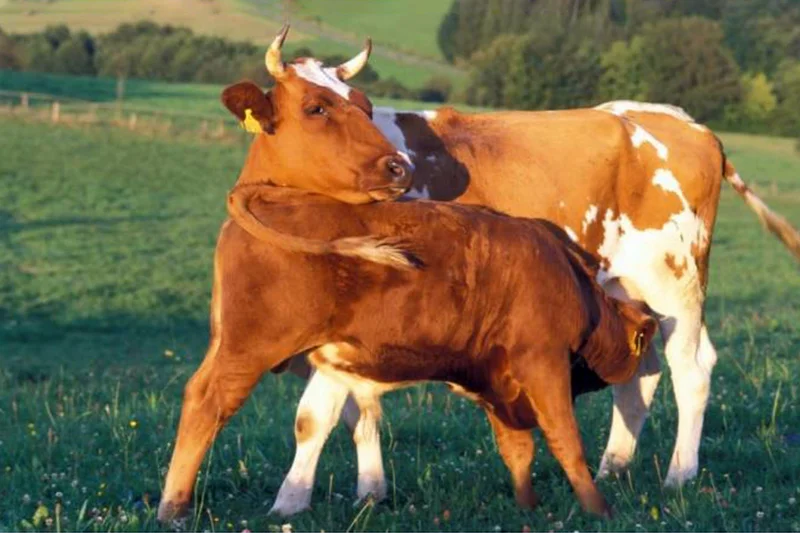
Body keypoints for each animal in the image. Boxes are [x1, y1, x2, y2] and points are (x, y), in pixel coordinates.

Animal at [157, 182, 659, 521]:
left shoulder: (496, 379)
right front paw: (599, 510)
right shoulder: (541, 362)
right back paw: (174, 506)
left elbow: (518, 449)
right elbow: (566, 440)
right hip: (246, 348)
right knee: (206, 404)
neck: (574, 284)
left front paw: (528, 507)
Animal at [229, 40, 800, 495]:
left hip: (675, 279)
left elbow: (325, 412)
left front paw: (301, 497)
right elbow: (355, 409)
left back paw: (680, 474)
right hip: (625, 285)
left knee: (692, 368)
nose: (395, 170)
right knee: (640, 373)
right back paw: (613, 468)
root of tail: (684, 122)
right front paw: (370, 492)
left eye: (364, 108)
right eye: (315, 107)